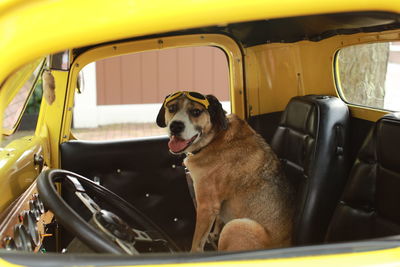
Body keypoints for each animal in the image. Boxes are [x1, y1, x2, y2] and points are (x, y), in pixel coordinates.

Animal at [156, 92, 294, 253]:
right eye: (172, 108)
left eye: (196, 112)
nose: (175, 126)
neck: (214, 138)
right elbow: (218, 220)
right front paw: (214, 234)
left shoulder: (206, 206)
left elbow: (197, 242)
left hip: (236, 226)